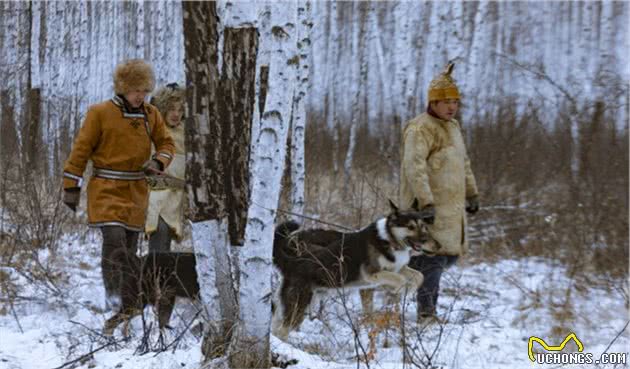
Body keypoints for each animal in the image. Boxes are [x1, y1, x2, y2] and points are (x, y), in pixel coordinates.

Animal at [270, 200, 436, 338]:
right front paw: (401, 289)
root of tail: (292, 262)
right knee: (282, 330)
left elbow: (419, 276)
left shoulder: (398, 267)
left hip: (305, 301)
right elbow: (399, 279)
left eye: (423, 227)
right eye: (410, 227)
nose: (425, 240)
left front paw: (410, 289)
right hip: (299, 306)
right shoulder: (372, 274)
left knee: (277, 324)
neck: (389, 240)